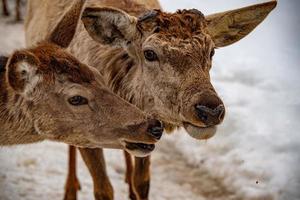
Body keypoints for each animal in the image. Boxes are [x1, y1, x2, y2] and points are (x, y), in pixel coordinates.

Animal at [24, 0, 278, 199]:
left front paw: (133, 183)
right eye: (149, 53)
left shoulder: (150, 129)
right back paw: (70, 189)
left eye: (212, 51)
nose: (210, 110)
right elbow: (103, 189)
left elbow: (143, 183)